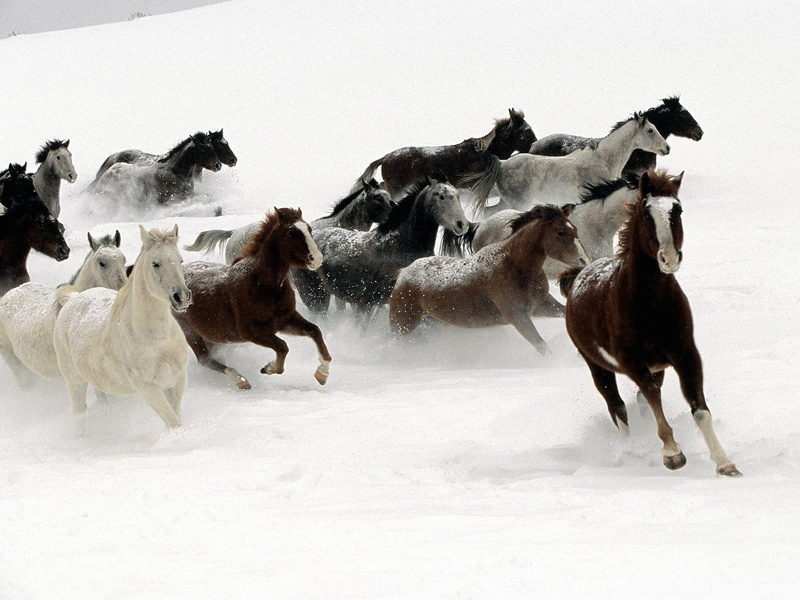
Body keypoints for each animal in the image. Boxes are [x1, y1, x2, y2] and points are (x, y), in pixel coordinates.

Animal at [53, 225, 191, 428]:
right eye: (155, 263)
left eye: (180, 260)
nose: (181, 297)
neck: (158, 340)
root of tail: (72, 298)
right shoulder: (149, 388)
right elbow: (173, 422)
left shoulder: (177, 381)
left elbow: (176, 418)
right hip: (75, 381)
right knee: (79, 411)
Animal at [173, 208, 331, 391]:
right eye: (291, 232)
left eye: (309, 229)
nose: (317, 258)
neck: (263, 284)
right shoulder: (250, 331)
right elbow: (282, 347)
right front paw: (269, 368)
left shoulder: (285, 320)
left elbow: (315, 331)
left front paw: (322, 373)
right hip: (190, 332)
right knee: (205, 360)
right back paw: (241, 380)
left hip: (211, 336)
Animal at [390, 205, 589, 354]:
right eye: (560, 232)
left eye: (575, 229)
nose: (584, 260)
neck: (514, 265)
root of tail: (403, 273)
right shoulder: (517, 316)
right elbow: (542, 346)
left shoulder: (541, 306)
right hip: (402, 325)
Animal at [467, 113, 669, 215]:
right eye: (650, 130)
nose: (667, 148)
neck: (603, 161)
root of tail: (502, 164)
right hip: (517, 203)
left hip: (507, 202)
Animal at [559, 170, 740, 477]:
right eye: (646, 213)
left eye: (677, 209)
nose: (670, 258)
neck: (651, 305)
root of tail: (577, 276)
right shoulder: (632, 361)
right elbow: (652, 396)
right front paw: (672, 453)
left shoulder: (686, 354)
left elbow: (699, 407)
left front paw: (724, 463)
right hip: (597, 366)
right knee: (617, 407)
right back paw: (630, 451)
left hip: (657, 366)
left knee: (639, 402)